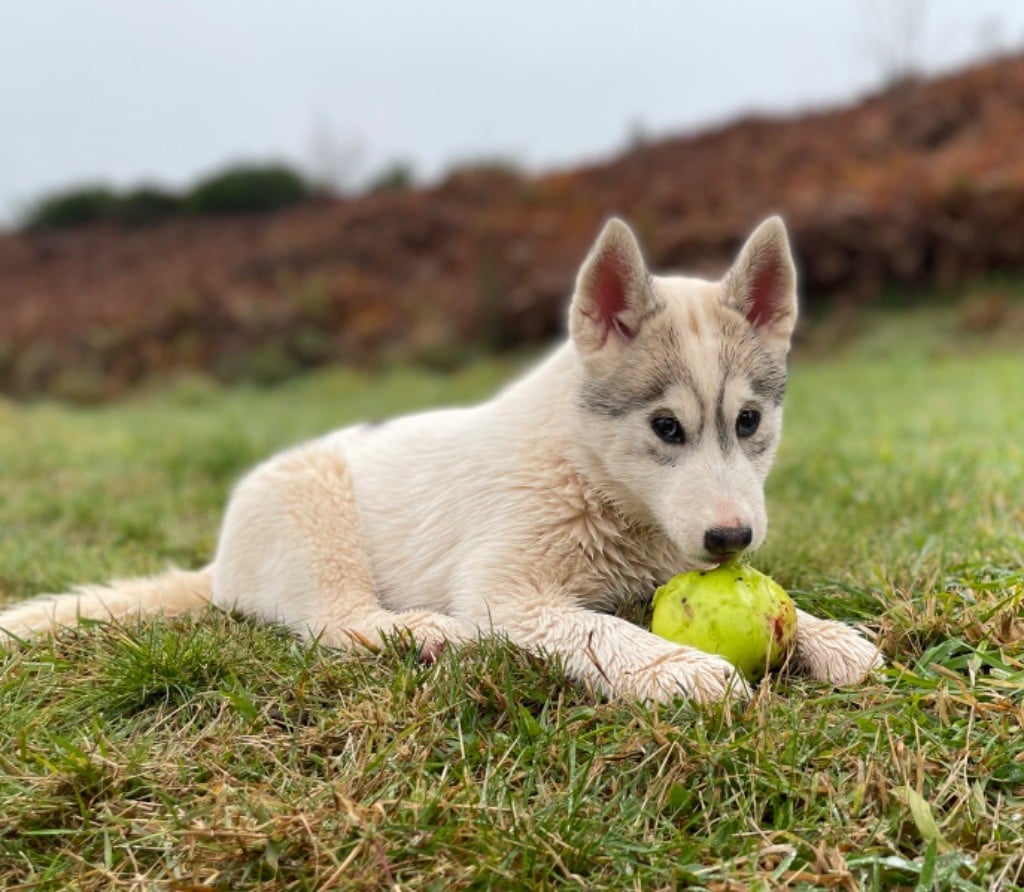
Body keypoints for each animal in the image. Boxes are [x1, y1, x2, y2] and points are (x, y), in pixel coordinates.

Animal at [0, 218, 880, 704]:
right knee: (334, 624)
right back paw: (424, 634)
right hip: (316, 521)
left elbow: (786, 607)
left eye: (749, 422)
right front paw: (674, 667)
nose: (731, 541)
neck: (590, 472)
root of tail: (218, 565)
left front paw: (828, 637)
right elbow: (598, 630)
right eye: (666, 428)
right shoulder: (506, 591)